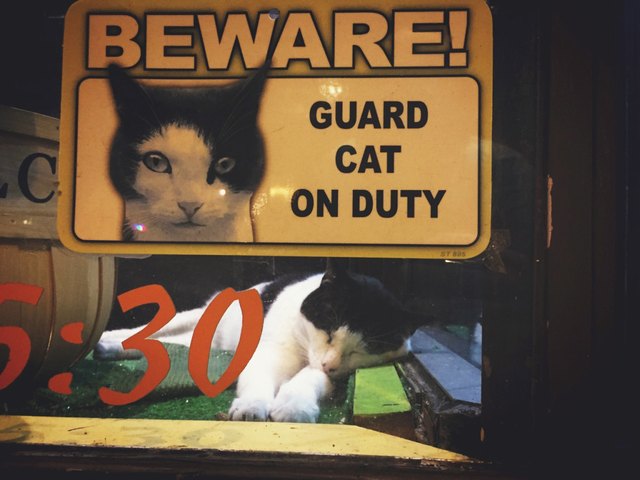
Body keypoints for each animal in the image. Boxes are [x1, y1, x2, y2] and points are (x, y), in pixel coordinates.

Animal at [96, 260, 424, 422]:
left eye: (361, 350)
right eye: (329, 330)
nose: (329, 365)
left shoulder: (330, 372)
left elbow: (310, 379)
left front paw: (294, 406)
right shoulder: (269, 354)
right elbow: (258, 380)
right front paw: (252, 406)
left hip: (200, 342)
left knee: (165, 343)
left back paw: (107, 350)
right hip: (198, 320)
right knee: (150, 331)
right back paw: (104, 342)